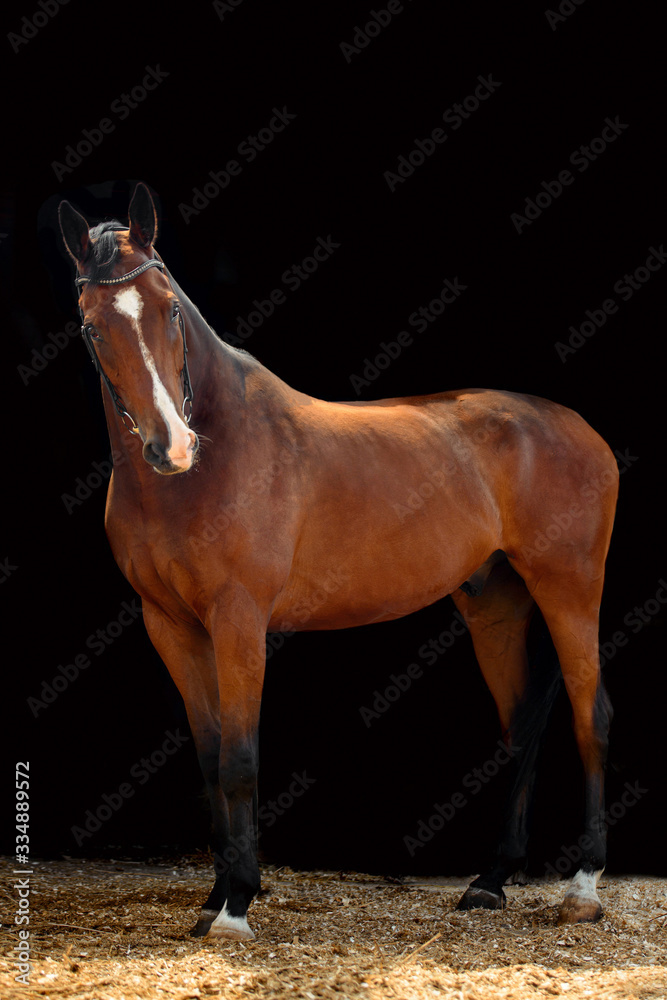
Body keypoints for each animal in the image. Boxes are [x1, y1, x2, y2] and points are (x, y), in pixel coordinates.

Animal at [58, 182, 618, 939]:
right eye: (92, 329)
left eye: (170, 308)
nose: (172, 447)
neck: (218, 456)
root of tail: (578, 428)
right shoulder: (169, 626)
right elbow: (209, 758)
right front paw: (216, 895)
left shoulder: (238, 621)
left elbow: (239, 759)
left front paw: (235, 908)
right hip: (495, 606)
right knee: (520, 724)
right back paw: (491, 882)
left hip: (569, 590)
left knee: (592, 715)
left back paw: (582, 890)